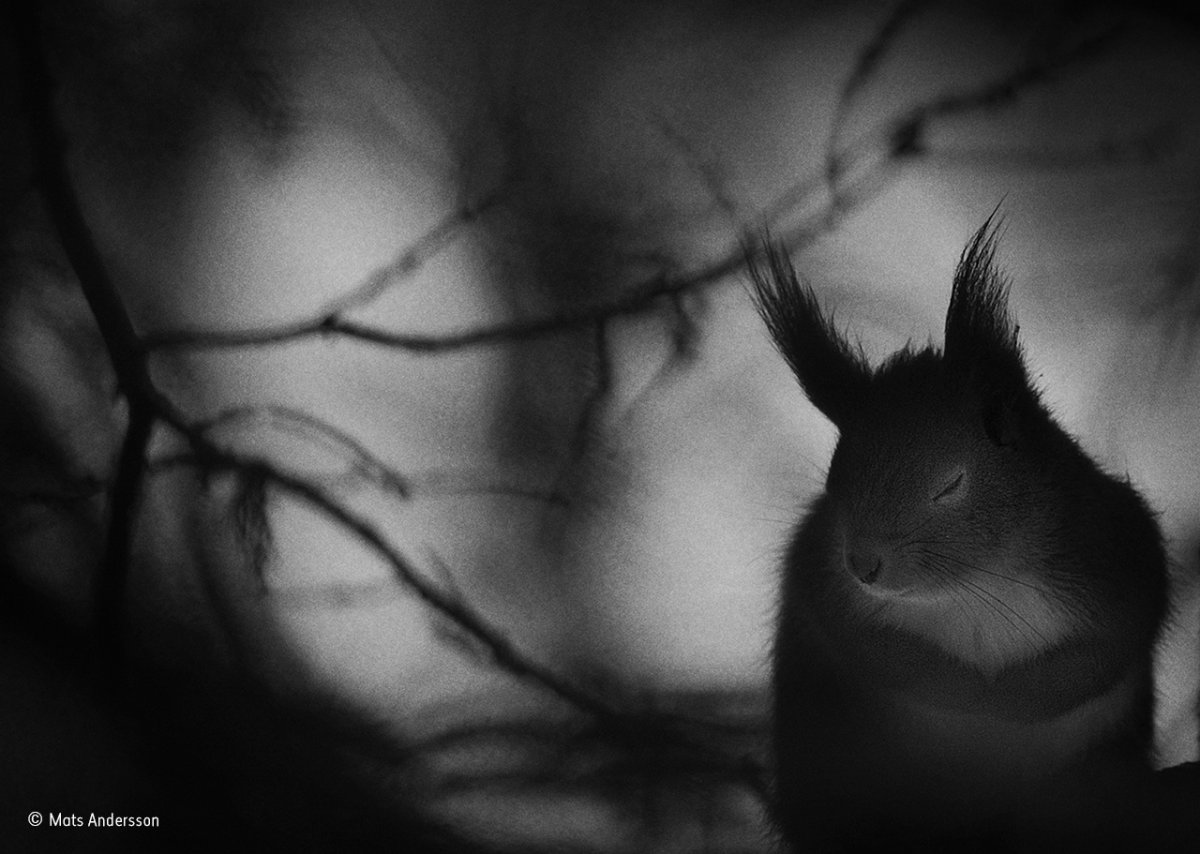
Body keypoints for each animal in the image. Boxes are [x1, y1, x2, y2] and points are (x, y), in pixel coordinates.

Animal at [753, 217, 1166, 849]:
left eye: (950, 485)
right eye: (833, 476)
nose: (863, 565)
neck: (976, 586)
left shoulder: (1111, 551)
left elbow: (1109, 648)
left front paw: (1010, 700)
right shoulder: (818, 565)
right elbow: (864, 639)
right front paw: (963, 692)